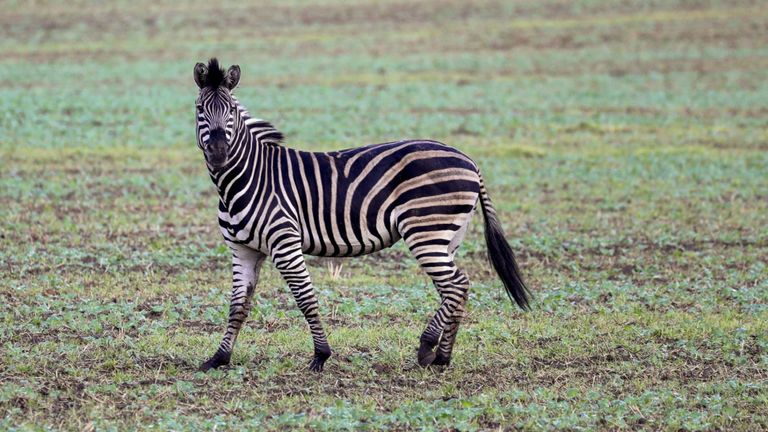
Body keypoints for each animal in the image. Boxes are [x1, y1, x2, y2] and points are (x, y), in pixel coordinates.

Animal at [193, 58, 531, 372]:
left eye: (231, 110)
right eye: (199, 109)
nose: (220, 153)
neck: (245, 178)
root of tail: (469, 160)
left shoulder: (284, 242)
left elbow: (305, 297)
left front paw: (321, 355)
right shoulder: (243, 250)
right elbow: (238, 306)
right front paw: (219, 358)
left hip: (427, 231)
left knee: (457, 286)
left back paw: (432, 349)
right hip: (448, 236)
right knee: (454, 289)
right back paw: (439, 355)